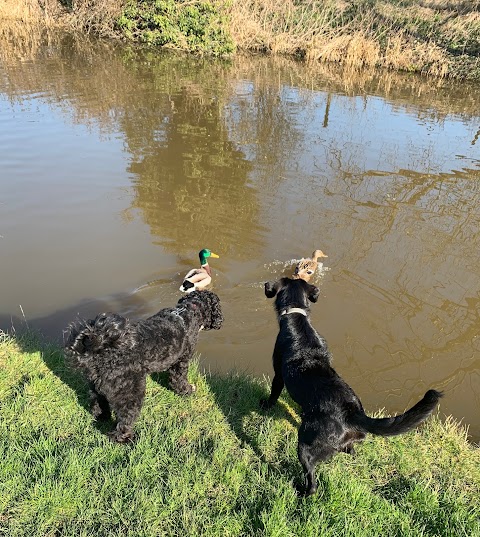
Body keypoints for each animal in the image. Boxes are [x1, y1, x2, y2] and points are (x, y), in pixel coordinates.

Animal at [64, 292, 224, 442]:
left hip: (96, 386)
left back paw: (101, 418)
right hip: (130, 391)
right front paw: (187, 391)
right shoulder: (181, 361)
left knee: (98, 403)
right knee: (124, 418)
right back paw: (126, 438)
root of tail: (100, 348)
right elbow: (179, 380)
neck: (188, 310)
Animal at [262, 278, 442, 496]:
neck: (297, 320)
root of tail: (353, 413)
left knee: (312, 479)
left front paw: (265, 405)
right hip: (348, 442)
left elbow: (274, 393)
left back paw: (301, 491)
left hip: (305, 446)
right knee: (350, 450)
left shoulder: (278, 375)